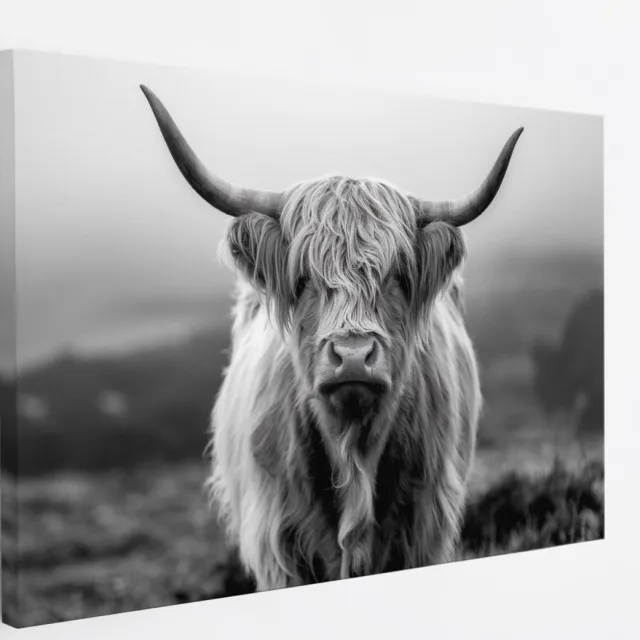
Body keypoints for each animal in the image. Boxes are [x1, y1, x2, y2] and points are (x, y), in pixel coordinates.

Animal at [141, 85, 523, 589]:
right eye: (303, 278)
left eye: (398, 276)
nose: (354, 357)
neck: (352, 451)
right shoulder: (279, 542)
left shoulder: (423, 527)